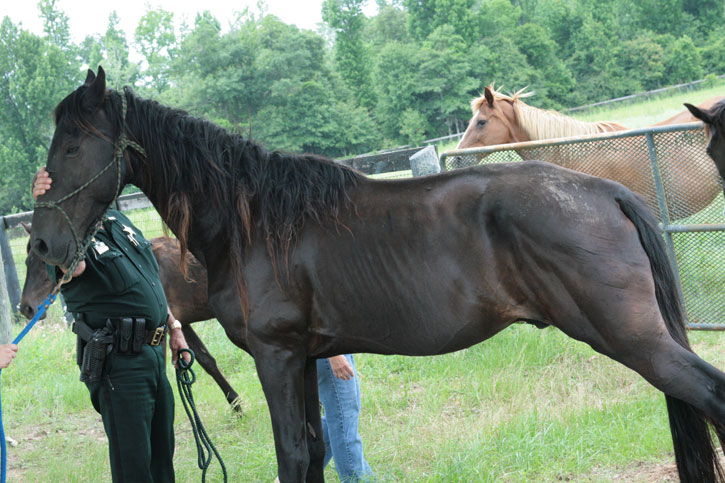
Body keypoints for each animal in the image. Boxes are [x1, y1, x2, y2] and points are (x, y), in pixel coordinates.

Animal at [18, 226, 242, 410]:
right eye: (28, 262)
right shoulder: (180, 323)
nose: (27, 307)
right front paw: (237, 405)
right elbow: (206, 360)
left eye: (44, 262)